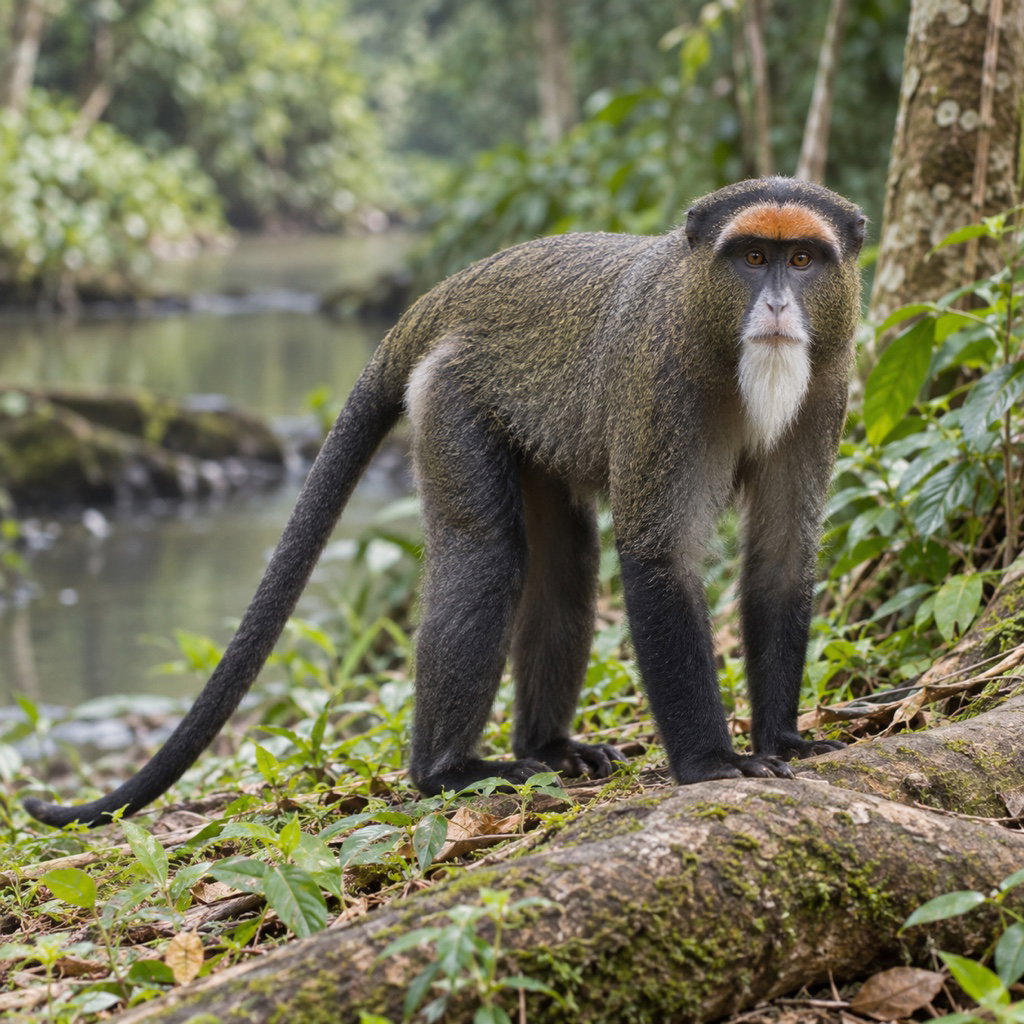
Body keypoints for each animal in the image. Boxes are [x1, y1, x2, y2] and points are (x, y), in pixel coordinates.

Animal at [24, 176, 864, 828]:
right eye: (751, 258)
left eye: (802, 259)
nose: (778, 307)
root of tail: (456, 288)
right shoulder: (663, 384)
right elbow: (658, 556)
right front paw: (712, 761)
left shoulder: (826, 390)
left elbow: (782, 559)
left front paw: (785, 740)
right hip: (453, 399)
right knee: (488, 558)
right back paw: (446, 771)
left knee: (565, 567)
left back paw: (546, 747)